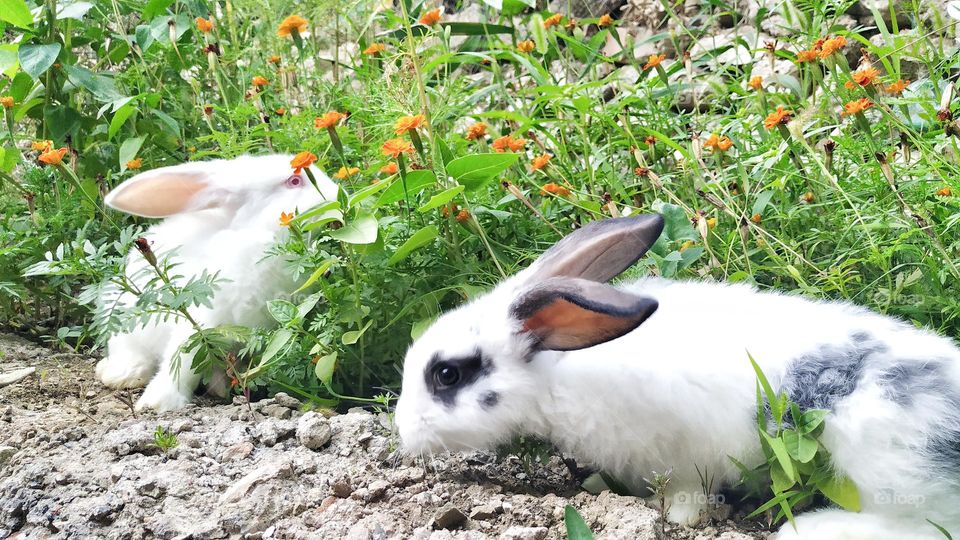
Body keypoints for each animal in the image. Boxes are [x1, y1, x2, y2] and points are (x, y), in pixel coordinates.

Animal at [95, 154, 338, 412]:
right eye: (294, 181)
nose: (336, 193)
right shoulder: (200, 321)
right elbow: (182, 359)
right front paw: (159, 403)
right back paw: (119, 375)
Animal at [394, 214, 960, 540]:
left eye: (447, 374)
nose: (402, 433)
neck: (555, 373)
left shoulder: (683, 452)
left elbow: (688, 495)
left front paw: (671, 515)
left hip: (885, 463)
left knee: (927, 525)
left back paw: (817, 529)